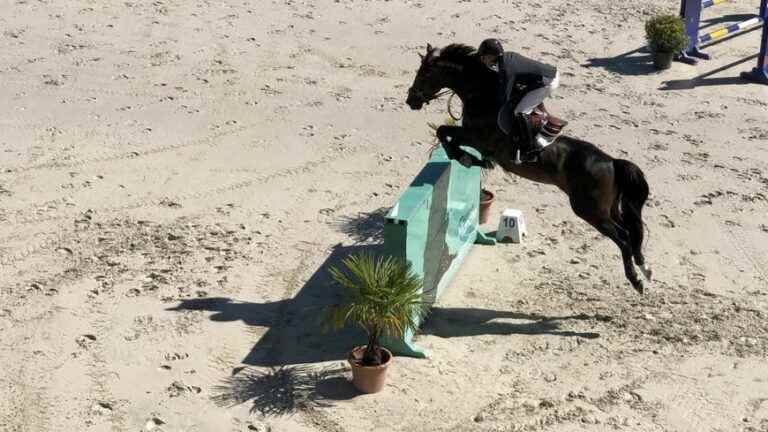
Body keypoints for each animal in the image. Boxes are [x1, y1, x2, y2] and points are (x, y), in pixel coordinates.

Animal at [404, 43, 652, 294]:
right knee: (630, 231)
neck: (482, 97)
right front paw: (472, 160)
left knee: (623, 237)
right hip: (607, 208)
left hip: (590, 210)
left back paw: (636, 280)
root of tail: (612, 162)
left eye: (424, 74)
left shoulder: (477, 138)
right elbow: (445, 133)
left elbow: (443, 132)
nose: (411, 100)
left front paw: (464, 158)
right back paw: (645, 268)